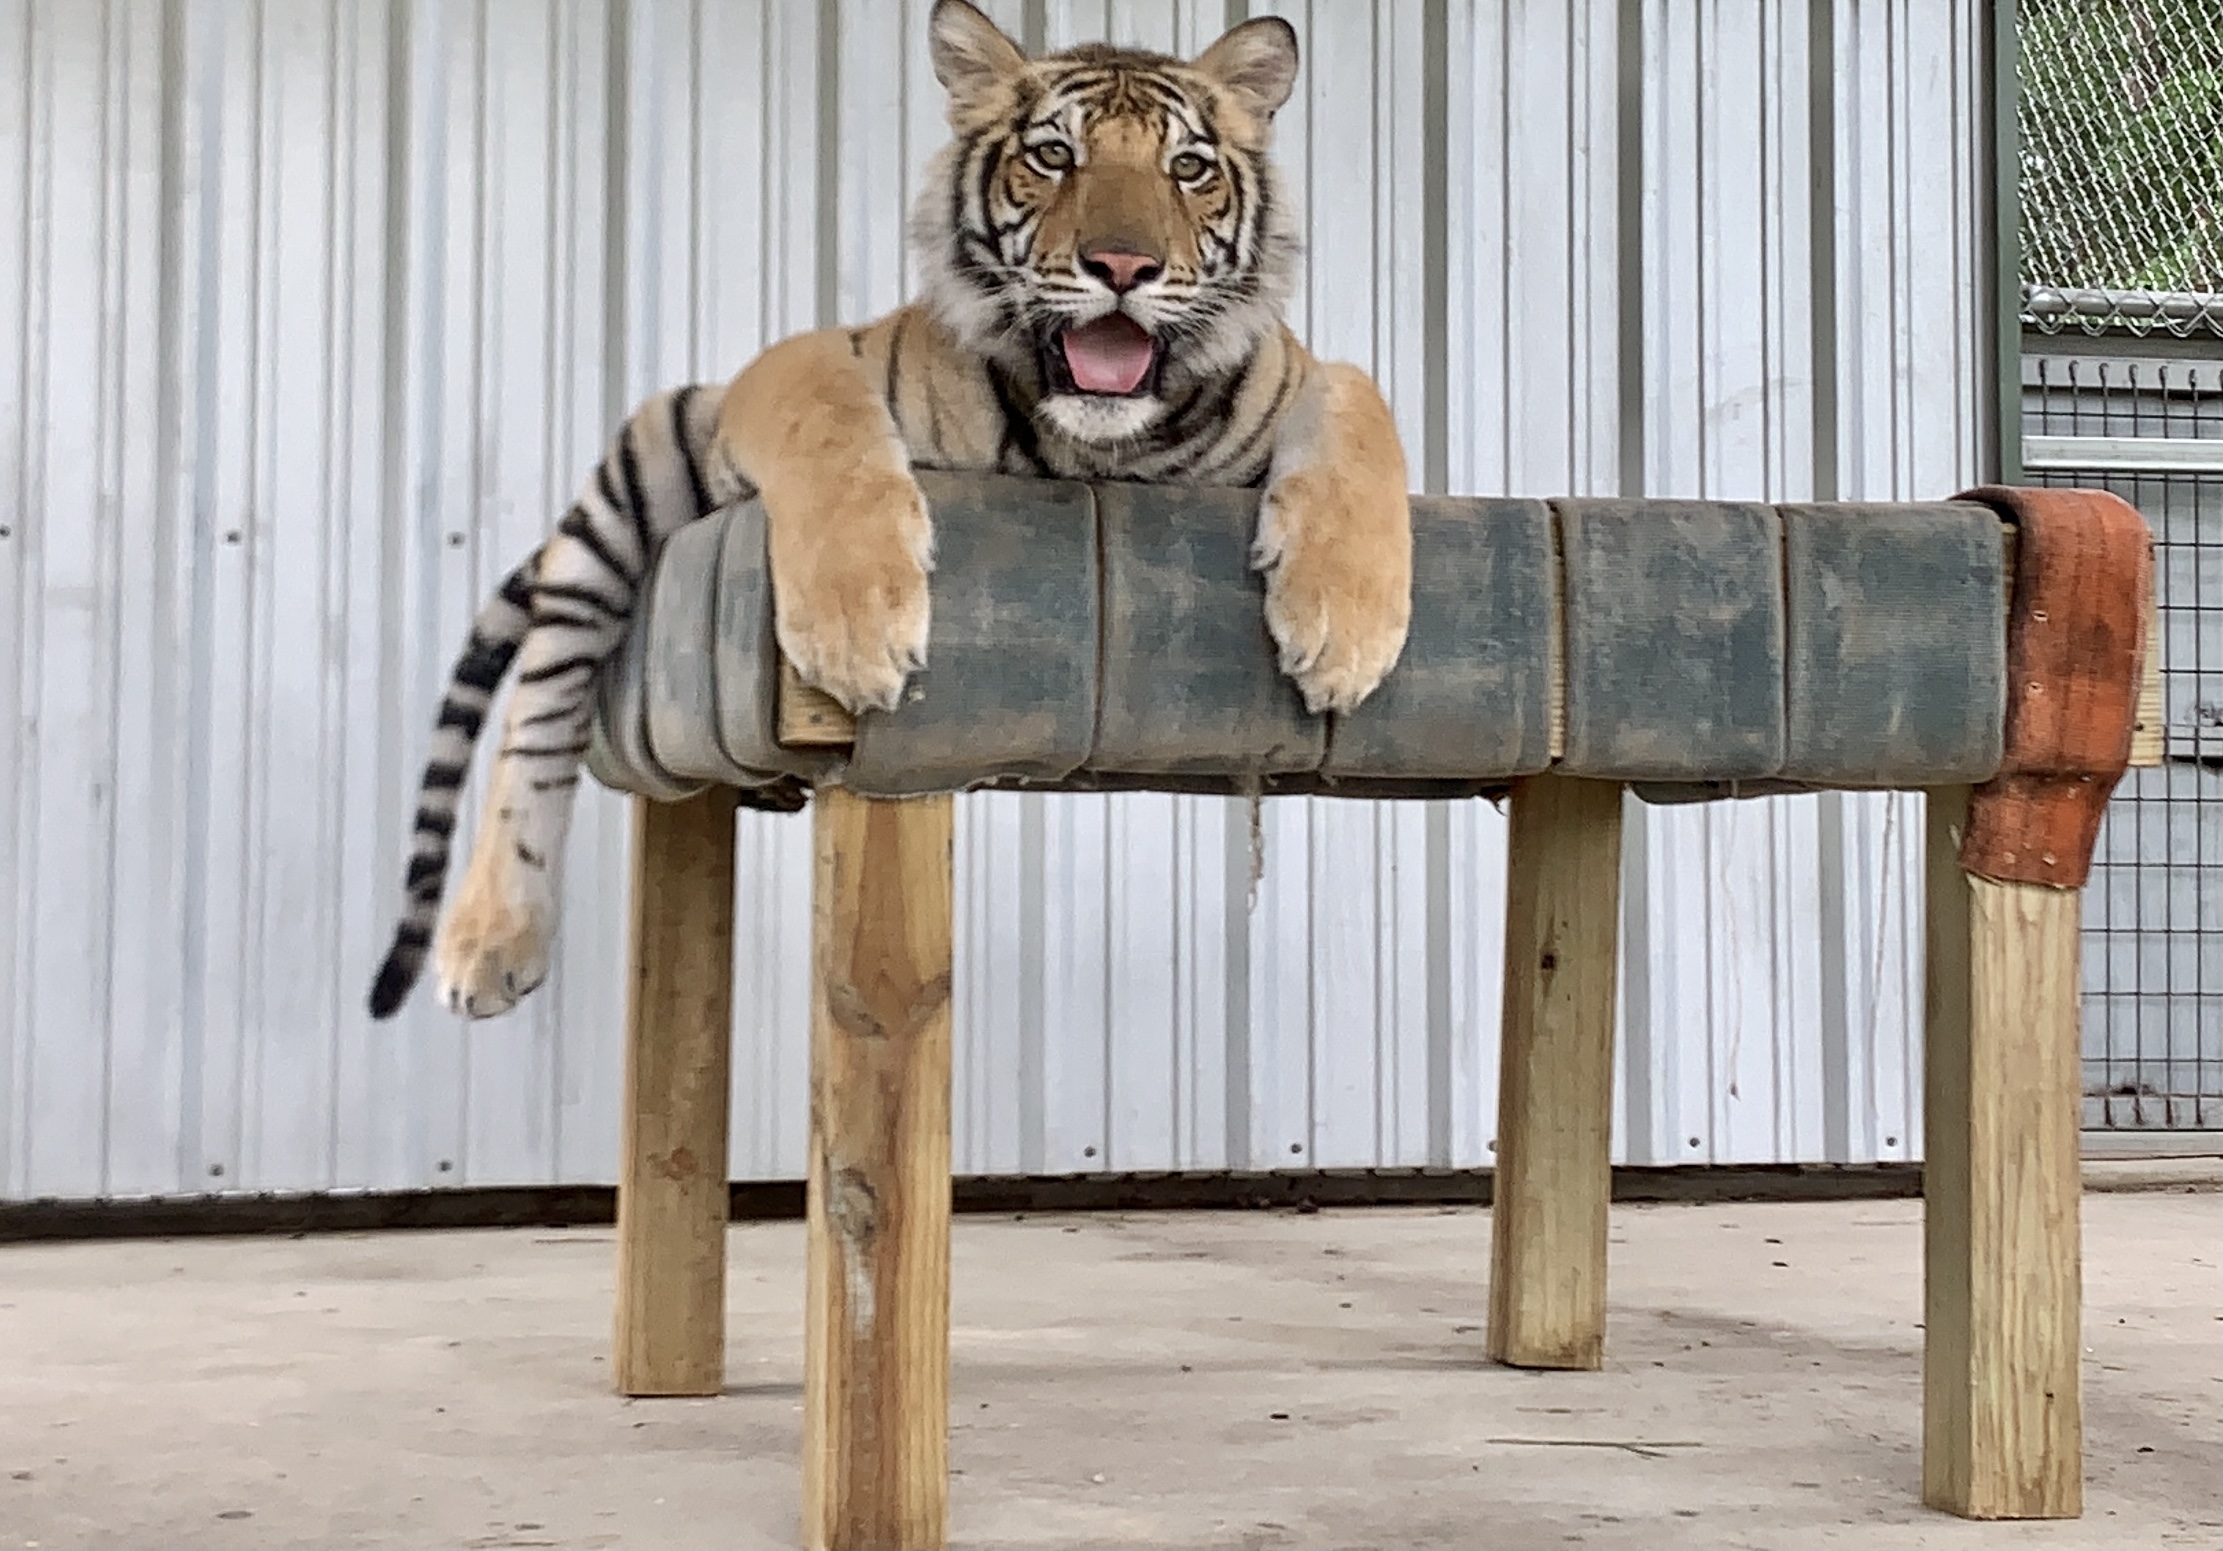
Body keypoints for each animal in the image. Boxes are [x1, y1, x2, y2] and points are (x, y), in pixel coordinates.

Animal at [368, 0, 1413, 1021]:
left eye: (1187, 169)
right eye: (1053, 156)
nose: (1123, 265)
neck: (1096, 443)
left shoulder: (1307, 374)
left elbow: (1365, 416)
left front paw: (1343, 636)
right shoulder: (796, 364)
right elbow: (829, 431)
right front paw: (859, 630)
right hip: (638, 473)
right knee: (538, 710)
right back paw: (491, 935)